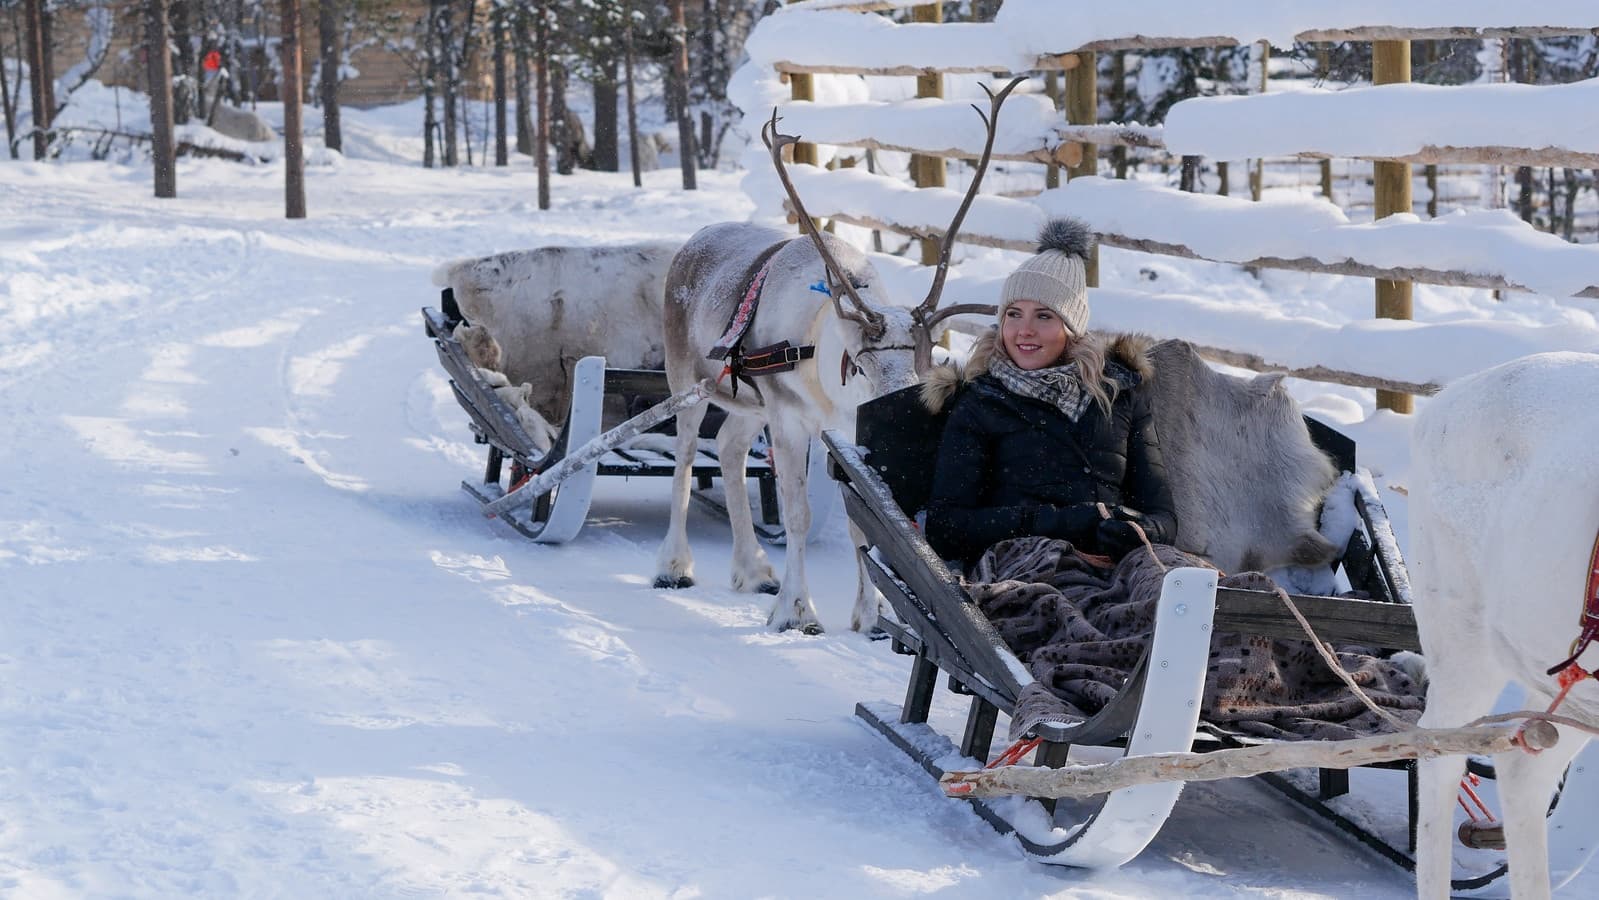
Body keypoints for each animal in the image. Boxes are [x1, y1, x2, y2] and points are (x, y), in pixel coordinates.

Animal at [652, 78, 1026, 634]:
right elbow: (797, 514)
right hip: (687, 380)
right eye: (862, 365)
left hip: (751, 403)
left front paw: (869, 617)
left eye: (928, 361)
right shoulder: (788, 419)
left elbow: (862, 526)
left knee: (729, 447)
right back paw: (675, 566)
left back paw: (754, 570)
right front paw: (796, 611)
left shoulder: (849, 435)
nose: (907, 421)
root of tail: (692, 242)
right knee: (686, 454)